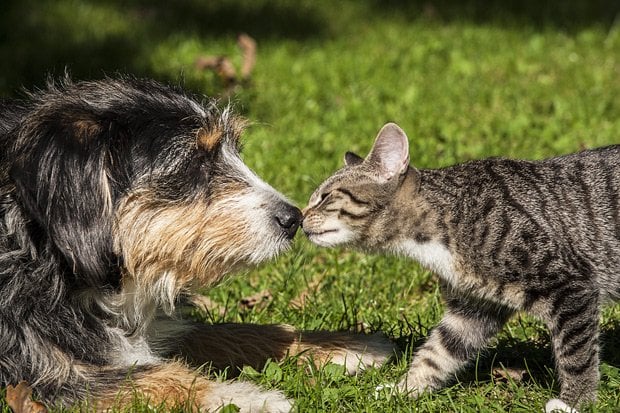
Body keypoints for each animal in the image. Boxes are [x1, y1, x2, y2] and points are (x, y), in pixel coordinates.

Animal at [1, 76, 392, 408]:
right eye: (193, 162)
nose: (293, 218)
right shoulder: (37, 375)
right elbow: (147, 378)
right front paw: (244, 397)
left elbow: (222, 331)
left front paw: (341, 344)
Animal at [302, 122, 620, 412]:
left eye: (326, 197)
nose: (300, 218)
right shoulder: (473, 308)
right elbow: (438, 352)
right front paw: (403, 390)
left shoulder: (570, 288)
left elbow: (577, 354)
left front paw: (575, 402)